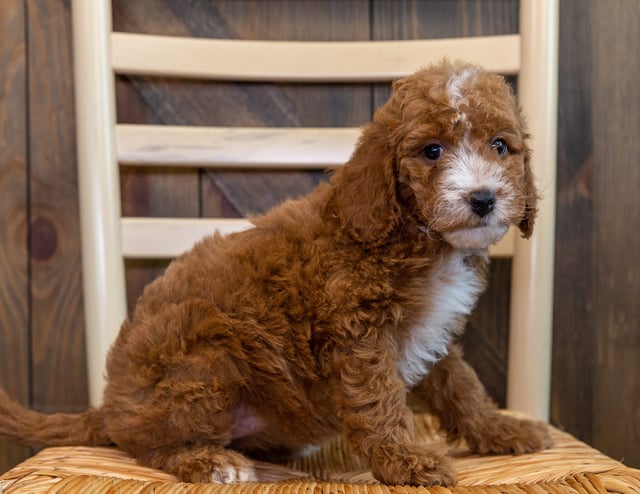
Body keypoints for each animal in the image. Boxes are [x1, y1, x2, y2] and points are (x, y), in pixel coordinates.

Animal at [0, 61, 552, 486]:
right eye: (432, 150)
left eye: (500, 146)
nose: (482, 198)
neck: (416, 236)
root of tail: (109, 407)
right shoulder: (357, 335)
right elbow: (380, 403)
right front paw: (406, 461)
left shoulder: (430, 333)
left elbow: (462, 387)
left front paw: (502, 431)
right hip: (207, 353)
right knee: (149, 444)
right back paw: (209, 461)